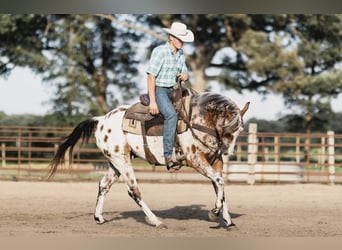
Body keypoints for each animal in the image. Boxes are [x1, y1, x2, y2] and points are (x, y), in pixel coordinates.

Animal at [48, 91, 248, 229]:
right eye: (228, 128)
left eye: (239, 130)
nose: (227, 151)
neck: (198, 121)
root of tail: (101, 120)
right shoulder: (195, 160)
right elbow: (220, 183)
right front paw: (214, 213)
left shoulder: (215, 162)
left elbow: (220, 187)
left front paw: (227, 220)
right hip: (122, 161)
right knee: (133, 191)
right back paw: (156, 221)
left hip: (115, 162)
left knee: (104, 185)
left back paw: (99, 217)